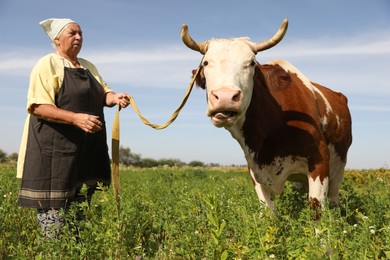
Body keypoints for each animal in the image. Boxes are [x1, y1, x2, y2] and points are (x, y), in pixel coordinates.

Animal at [181, 19, 352, 211]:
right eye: (206, 63)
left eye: (251, 63)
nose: (225, 97)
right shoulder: (255, 171)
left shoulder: (319, 161)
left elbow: (316, 209)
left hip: (339, 166)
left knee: (334, 199)